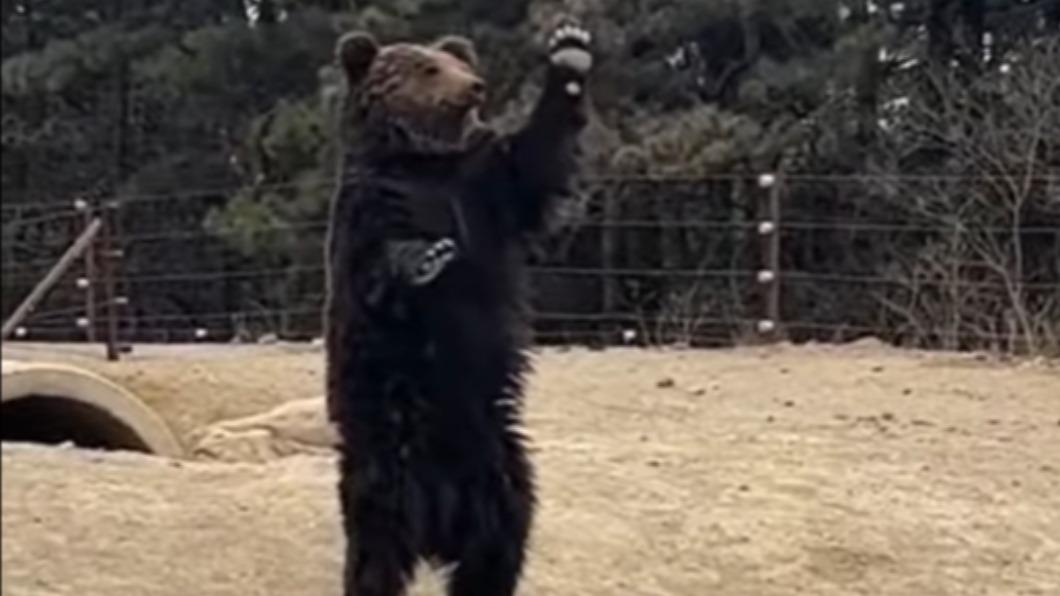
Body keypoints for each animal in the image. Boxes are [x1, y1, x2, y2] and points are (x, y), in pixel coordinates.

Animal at [323, 18, 594, 596]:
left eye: (460, 63)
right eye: (428, 68)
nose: (475, 86)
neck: (425, 163)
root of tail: (437, 517)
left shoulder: (488, 188)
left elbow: (539, 162)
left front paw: (570, 51)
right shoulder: (371, 206)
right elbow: (381, 266)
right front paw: (428, 256)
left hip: (500, 470)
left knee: (498, 549)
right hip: (384, 470)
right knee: (373, 558)